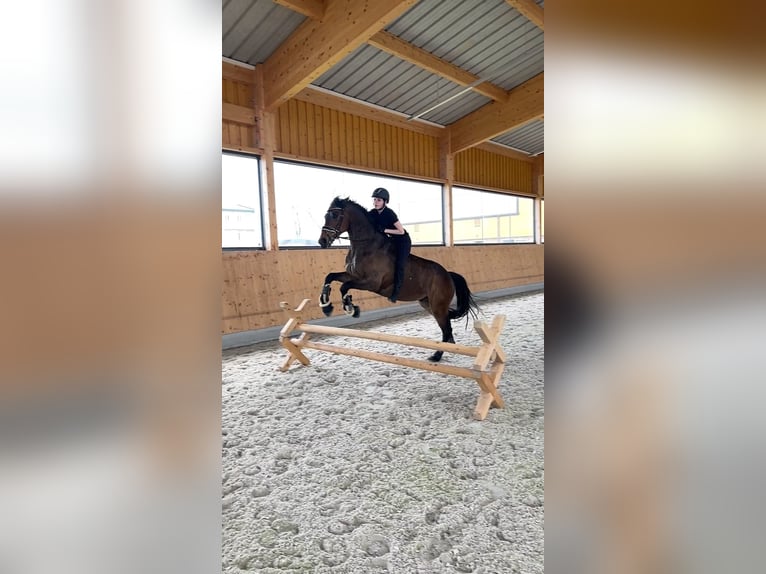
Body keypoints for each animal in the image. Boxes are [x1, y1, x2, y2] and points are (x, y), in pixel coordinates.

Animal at [318, 196, 480, 362]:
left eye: (335, 215)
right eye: (326, 215)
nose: (322, 241)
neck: (365, 245)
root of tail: (448, 274)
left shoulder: (371, 283)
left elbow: (344, 287)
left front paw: (351, 308)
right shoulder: (353, 276)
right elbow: (330, 277)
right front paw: (327, 306)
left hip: (437, 306)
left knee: (447, 329)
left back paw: (436, 356)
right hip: (427, 303)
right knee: (447, 329)